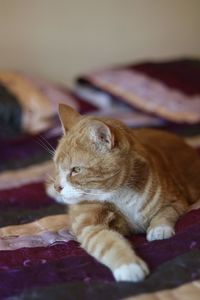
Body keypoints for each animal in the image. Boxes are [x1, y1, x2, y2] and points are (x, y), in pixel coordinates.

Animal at [1, 103, 200, 282]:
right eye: (57, 166)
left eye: (76, 170)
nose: (58, 187)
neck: (121, 194)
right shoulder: (90, 226)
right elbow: (109, 244)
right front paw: (128, 266)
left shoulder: (176, 200)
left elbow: (165, 213)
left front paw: (159, 229)